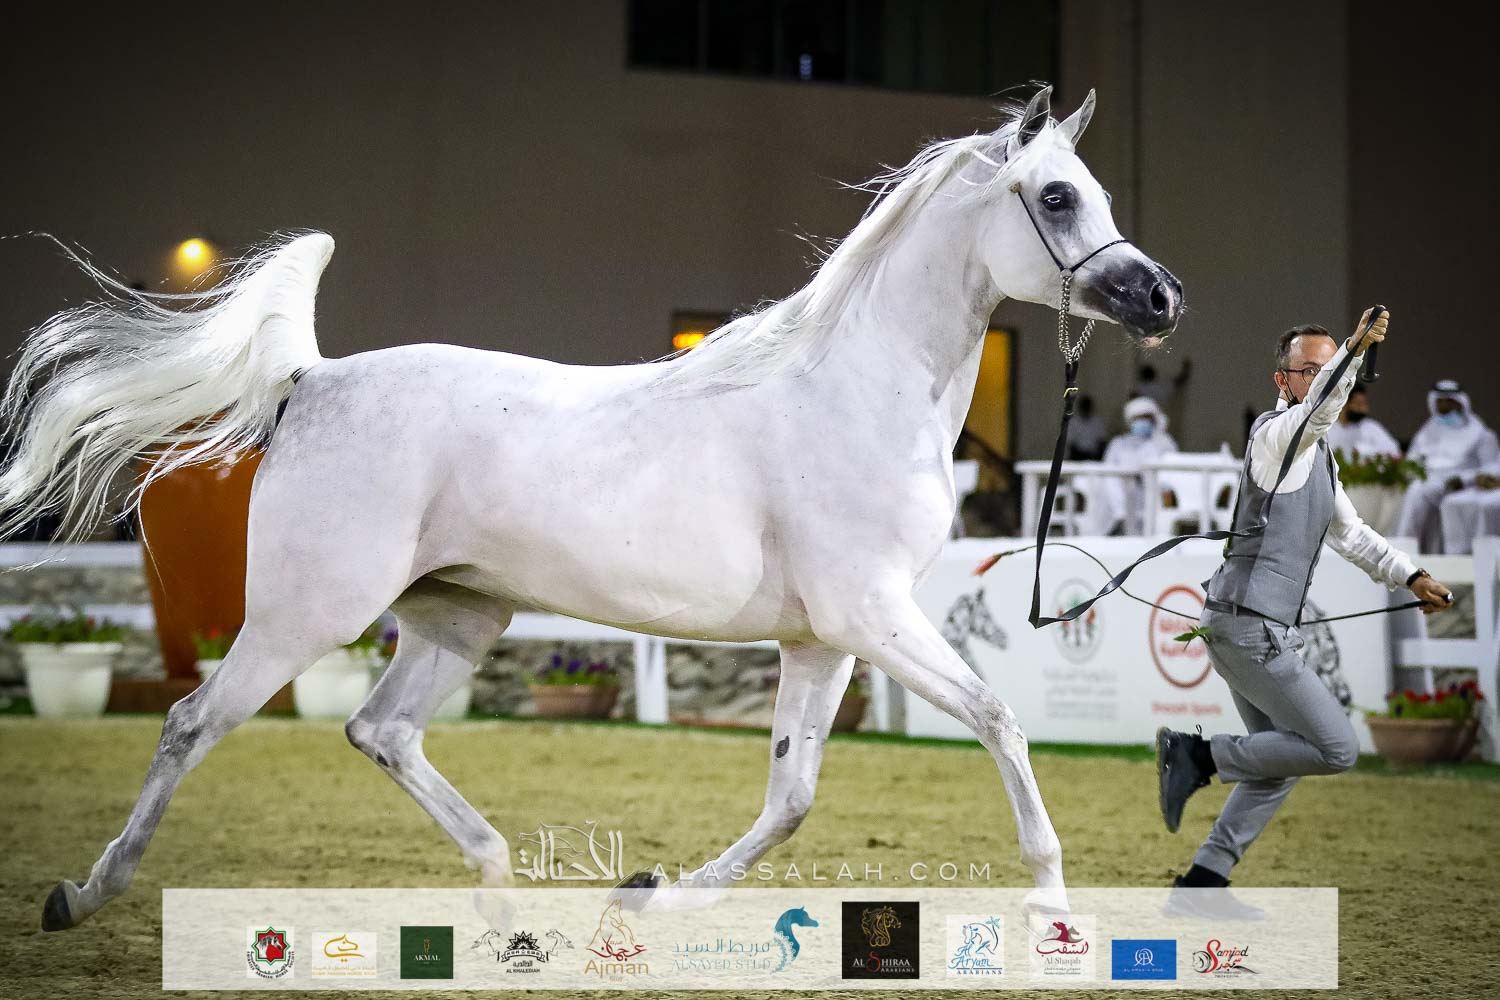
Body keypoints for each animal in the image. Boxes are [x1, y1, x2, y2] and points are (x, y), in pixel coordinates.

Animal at [2, 83, 1180, 932]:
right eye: (1058, 195)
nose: (1162, 297)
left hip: (458, 614)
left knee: (380, 729)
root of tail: (315, 379)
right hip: (307, 612)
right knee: (194, 721)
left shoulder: (824, 639)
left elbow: (790, 798)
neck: (858, 388)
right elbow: (998, 719)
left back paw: (496, 886)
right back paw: (83, 894)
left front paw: (654, 894)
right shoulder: (875, 618)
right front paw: (1050, 899)